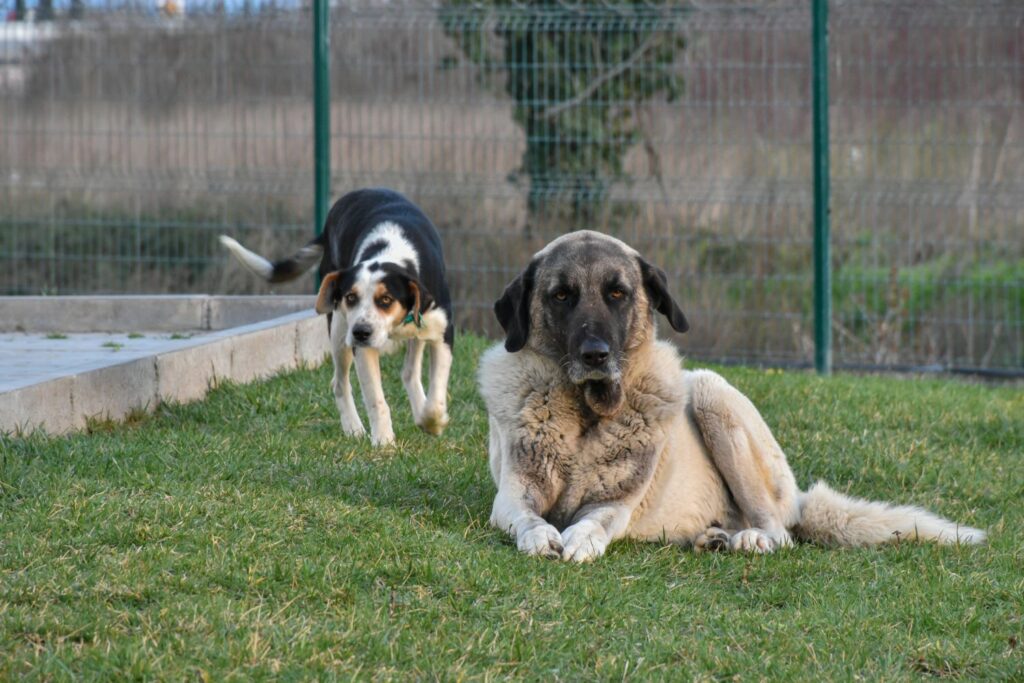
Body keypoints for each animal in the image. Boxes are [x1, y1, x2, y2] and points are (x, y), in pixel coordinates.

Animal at [220, 188, 452, 444]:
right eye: (350, 297)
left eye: (386, 299)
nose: (361, 332)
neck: (392, 251)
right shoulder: (361, 346)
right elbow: (376, 399)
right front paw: (383, 441)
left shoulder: (442, 332)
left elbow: (437, 393)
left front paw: (432, 422)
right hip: (339, 330)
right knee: (339, 383)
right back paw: (354, 429)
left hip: (408, 332)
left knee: (410, 371)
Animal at [479, 232, 983, 565]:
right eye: (562, 295)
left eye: (617, 293)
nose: (595, 354)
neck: (587, 415)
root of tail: (798, 500)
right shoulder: (513, 496)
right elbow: (528, 519)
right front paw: (541, 536)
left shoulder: (615, 504)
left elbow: (592, 521)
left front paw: (579, 538)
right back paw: (713, 538)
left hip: (711, 392)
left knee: (780, 533)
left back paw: (748, 540)